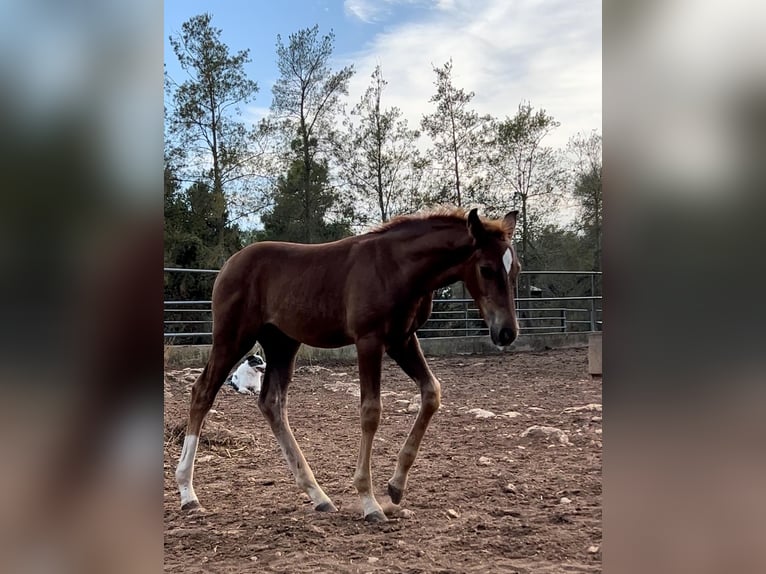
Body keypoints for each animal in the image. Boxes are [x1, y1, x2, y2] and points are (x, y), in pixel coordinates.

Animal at [176, 209, 520, 524]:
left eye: (515, 268)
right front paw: (369, 501)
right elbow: (371, 411)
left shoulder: (403, 340)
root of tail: (229, 264)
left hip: (282, 344)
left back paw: (319, 496)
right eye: (486, 269)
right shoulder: (369, 340)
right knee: (202, 393)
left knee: (271, 403)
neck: (397, 267)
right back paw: (188, 495)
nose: (506, 332)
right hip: (233, 339)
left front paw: (396, 487)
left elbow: (431, 392)